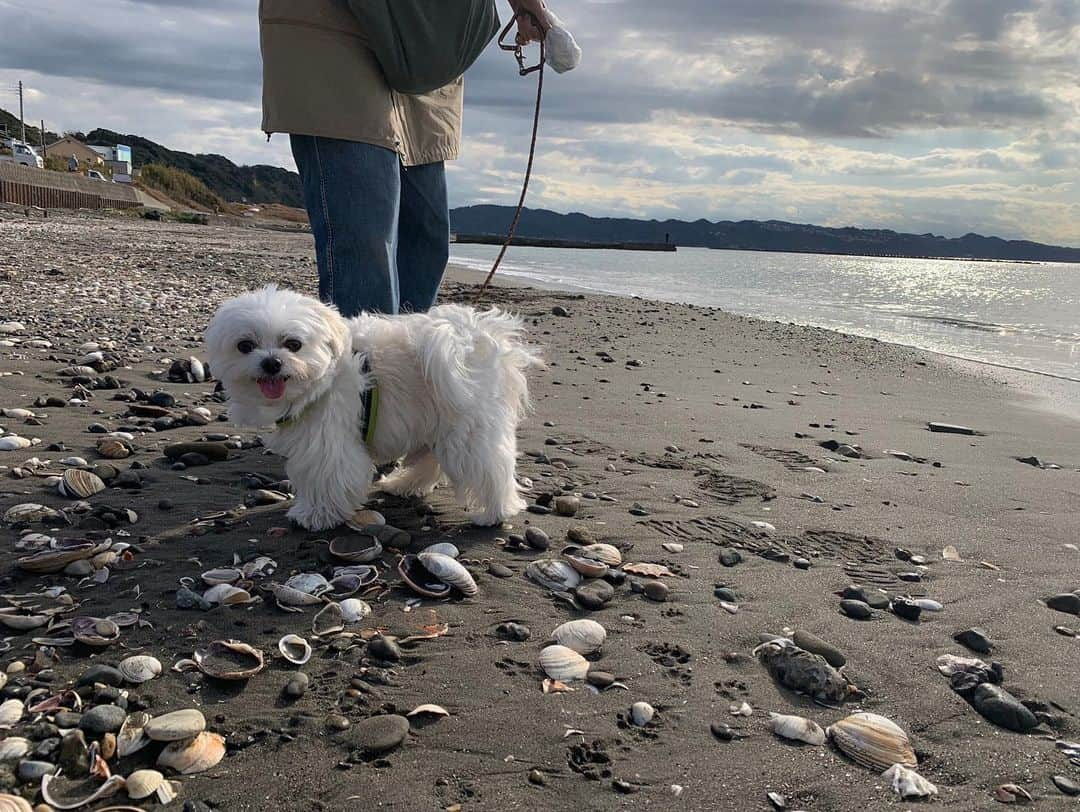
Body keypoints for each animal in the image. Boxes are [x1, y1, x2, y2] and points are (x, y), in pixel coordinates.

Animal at [204, 287, 540, 533]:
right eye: (245, 346)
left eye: (294, 344)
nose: (271, 362)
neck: (325, 376)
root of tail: (473, 339)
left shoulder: (330, 444)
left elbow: (328, 479)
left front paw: (315, 515)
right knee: (429, 462)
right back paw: (403, 485)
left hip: (466, 429)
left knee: (489, 470)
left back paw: (495, 512)